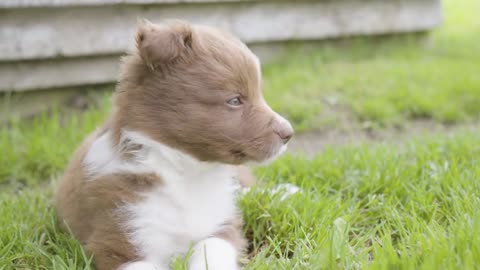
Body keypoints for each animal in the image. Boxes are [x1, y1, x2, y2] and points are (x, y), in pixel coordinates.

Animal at [53, 19, 292, 270]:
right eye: (235, 100)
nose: (289, 133)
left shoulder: (223, 225)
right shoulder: (119, 238)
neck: (186, 173)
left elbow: (212, 248)